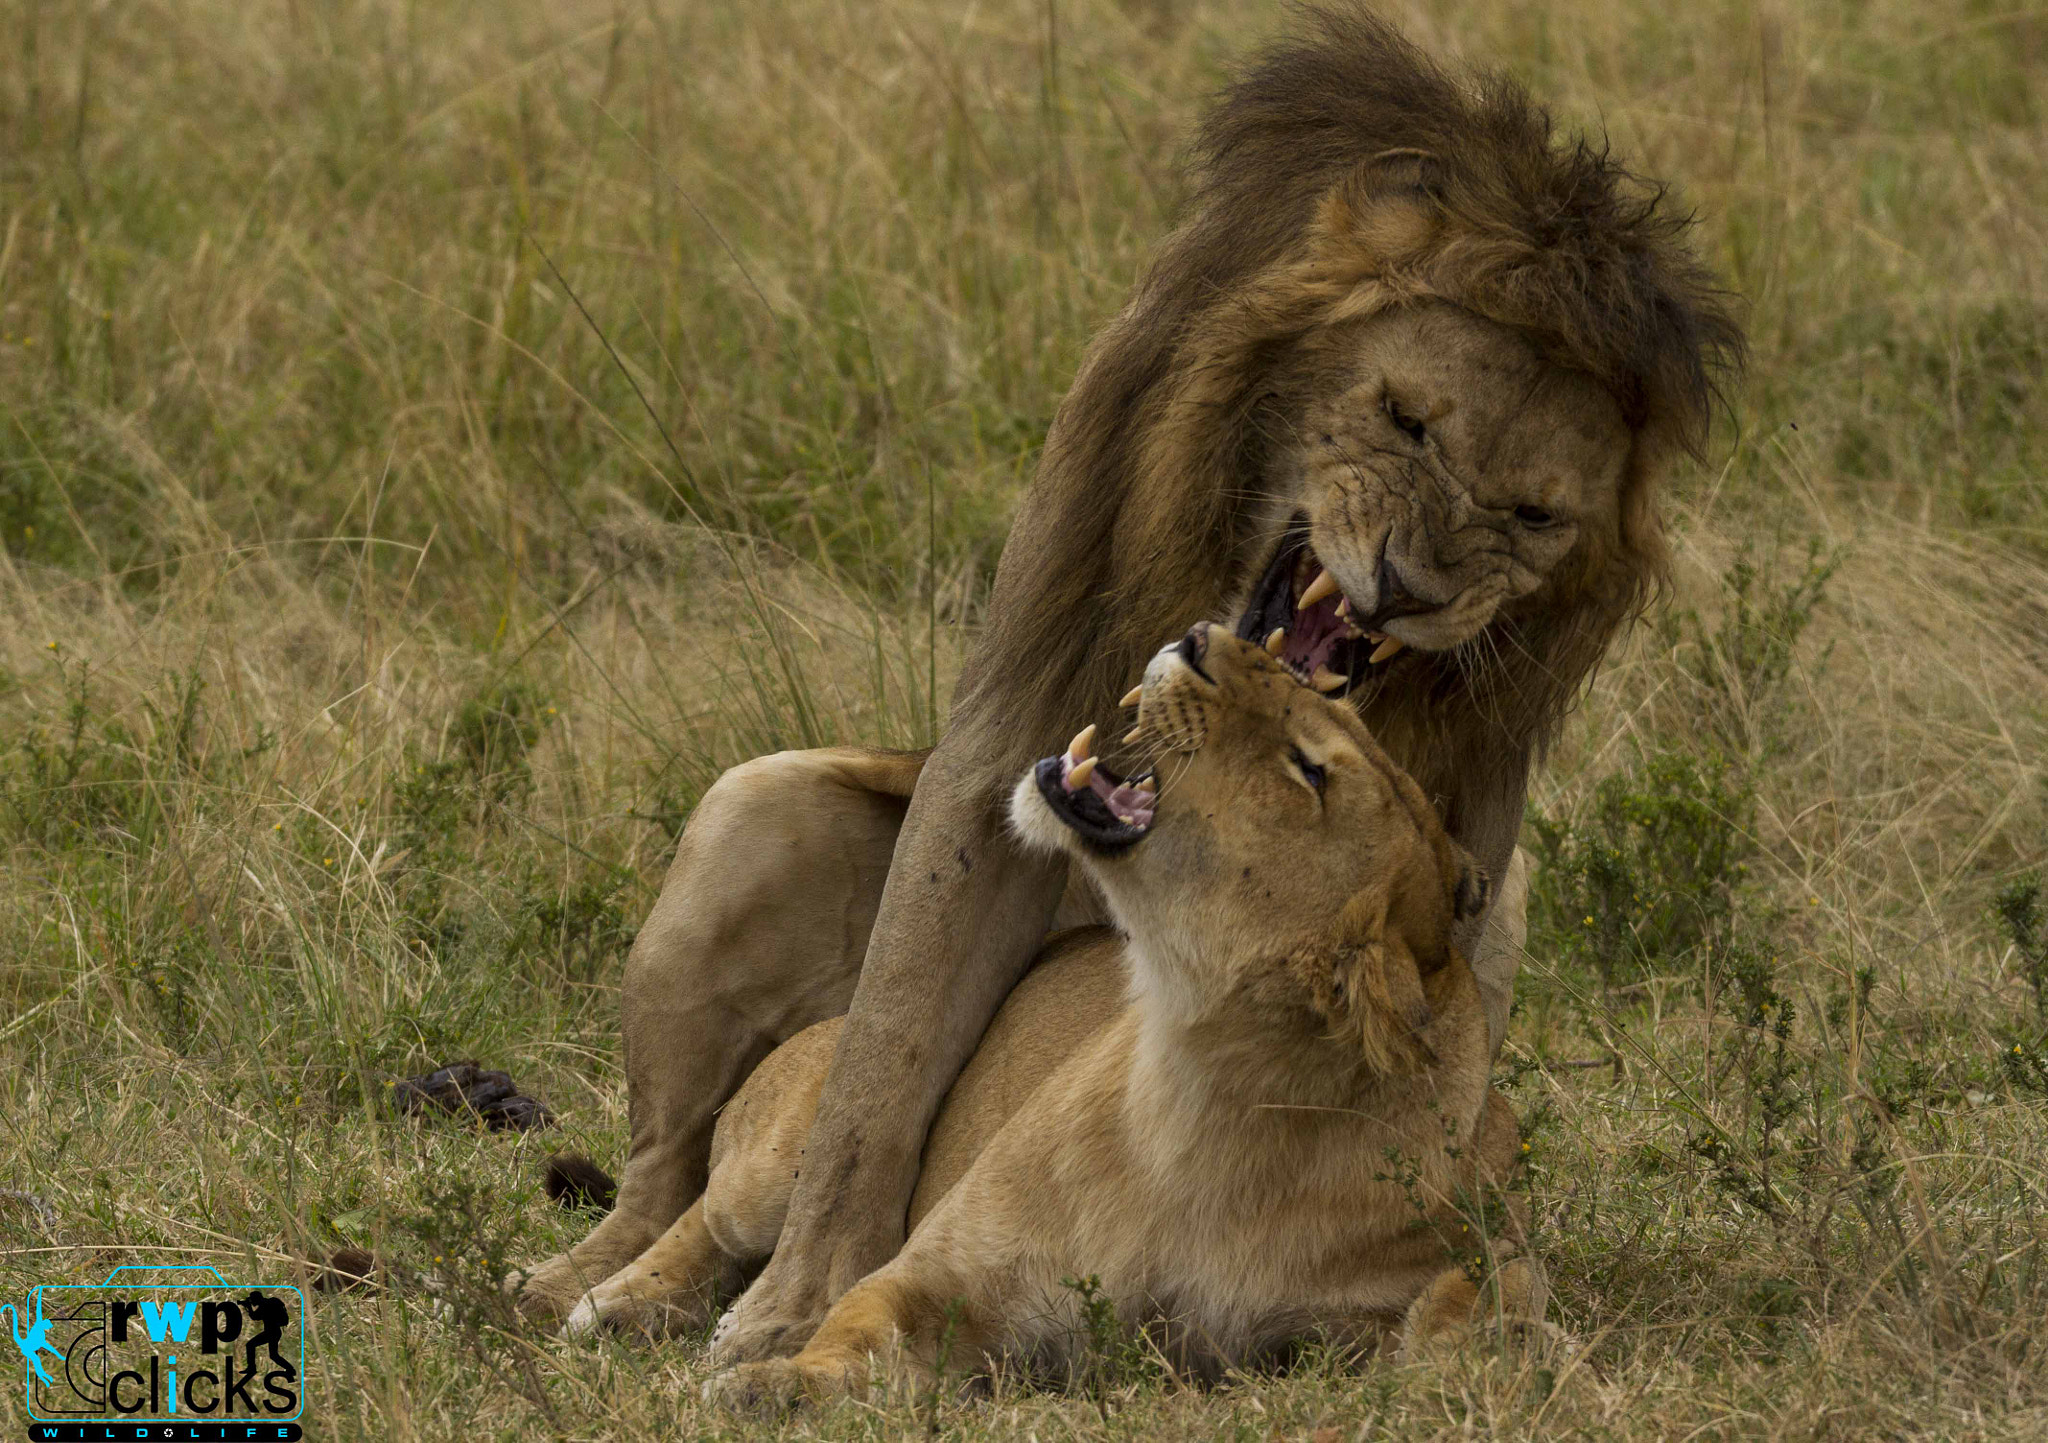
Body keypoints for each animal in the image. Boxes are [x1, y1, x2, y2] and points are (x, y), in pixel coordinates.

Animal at [564, 627, 1543, 1407]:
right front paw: (767, 1385)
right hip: (788, 1141)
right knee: (704, 1209)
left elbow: (1472, 1308)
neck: (1221, 1095)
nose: (1200, 636)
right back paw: (608, 1305)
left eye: (1310, 769)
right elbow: (854, 1328)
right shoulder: (936, 1271)